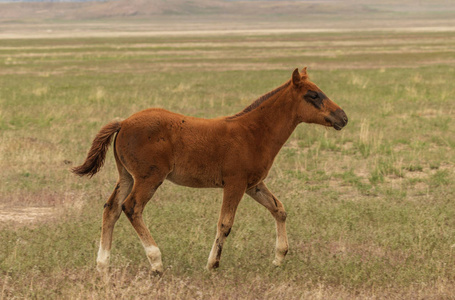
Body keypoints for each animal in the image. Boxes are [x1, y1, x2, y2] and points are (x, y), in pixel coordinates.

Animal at [72, 68, 350, 274]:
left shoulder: (253, 185)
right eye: (313, 95)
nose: (343, 117)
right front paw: (212, 264)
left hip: (127, 176)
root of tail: (123, 122)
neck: (254, 132)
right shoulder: (235, 183)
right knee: (131, 207)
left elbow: (279, 209)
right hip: (148, 178)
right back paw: (156, 262)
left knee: (111, 209)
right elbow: (225, 223)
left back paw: (103, 265)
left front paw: (279, 258)